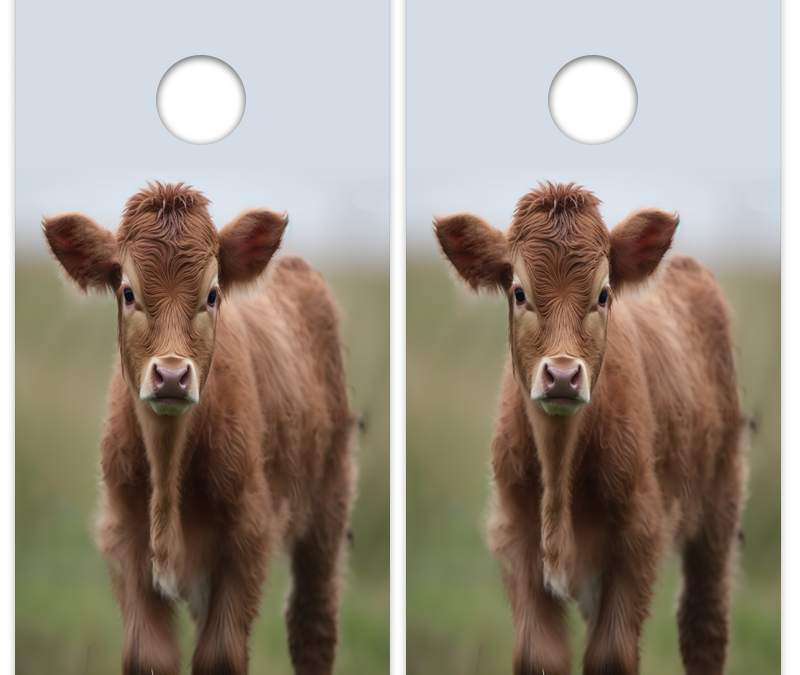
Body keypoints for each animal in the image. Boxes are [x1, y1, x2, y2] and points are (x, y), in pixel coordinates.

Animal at [43, 182, 357, 675]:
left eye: (211, 295)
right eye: (128, 292)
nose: (172, 375)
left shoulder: (247, 538)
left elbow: (219, 655)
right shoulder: (125, 539)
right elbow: (149, 655)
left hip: (328, 504)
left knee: (313, 624)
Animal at [434, 182, 747, 675]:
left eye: (602, 295)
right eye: (519, 292)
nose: (562, 375)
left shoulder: (638, 537)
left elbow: (610, 655)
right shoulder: (516, 539)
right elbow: (540, 655)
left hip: (720, 503)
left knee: (704, 624)